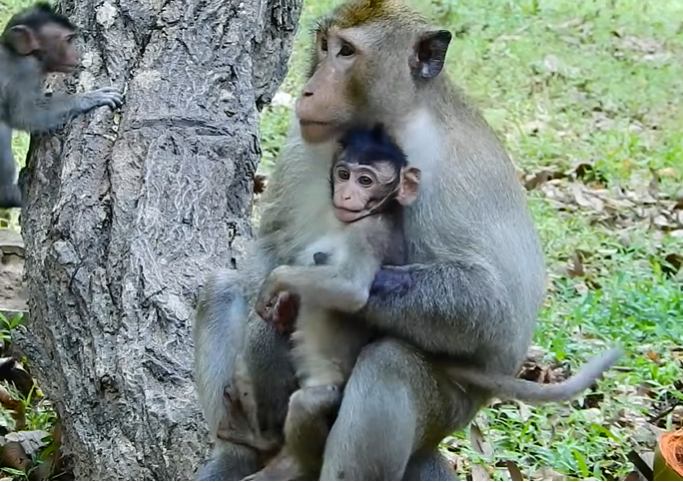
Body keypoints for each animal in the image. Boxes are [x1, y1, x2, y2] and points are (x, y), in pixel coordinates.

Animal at [0, 2, 124, 208]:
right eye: (68, 40)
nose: (78, 54)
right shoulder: (24, 73)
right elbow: (23, 114)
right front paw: (87, 99)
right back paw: (10, 196)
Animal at [192, 0, 624, 479]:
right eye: (324, 45)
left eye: (346, 52)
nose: (308, 91)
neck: (391, 124)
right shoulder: (305, 142)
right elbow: (273, 242)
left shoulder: (452, 171)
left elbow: (494, 309)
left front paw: (293, 289)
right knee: (222, 289)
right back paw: (239, 450)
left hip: (446, 413)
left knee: (390, 365)